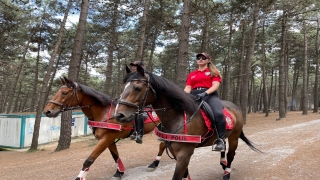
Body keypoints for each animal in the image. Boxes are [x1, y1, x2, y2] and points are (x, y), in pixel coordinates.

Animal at [114, 66, 262, 180]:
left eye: (138, 88)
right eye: (122, 87)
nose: (119, 115)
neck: (177, 116)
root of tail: (235, 107)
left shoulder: (184, 154)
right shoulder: (174, 152)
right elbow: (185, 175)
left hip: (234, 136)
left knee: (231, 155)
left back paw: (226, 173)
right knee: (223, 147)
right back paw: (222, 162)